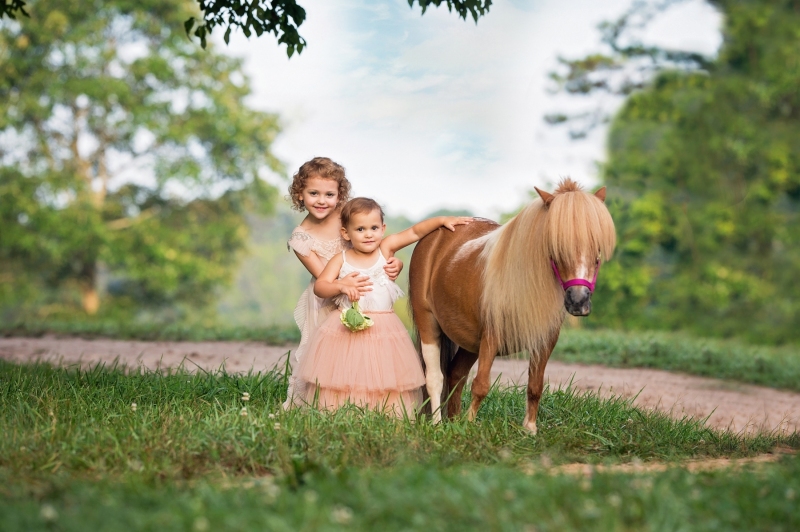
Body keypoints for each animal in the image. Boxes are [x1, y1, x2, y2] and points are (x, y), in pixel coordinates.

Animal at [408, 178, 616, 433]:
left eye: (596, 249)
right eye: (557, 246)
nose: (579, 301)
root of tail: (434, 236)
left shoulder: (544, 340)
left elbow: (535, 386)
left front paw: (530, 429)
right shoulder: (491, 337)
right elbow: (481, 385)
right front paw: (470, 425)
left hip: (470, 341)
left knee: (455, 374)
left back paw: (454, 423)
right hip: (428, 322)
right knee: (435, 378)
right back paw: (438, 425)